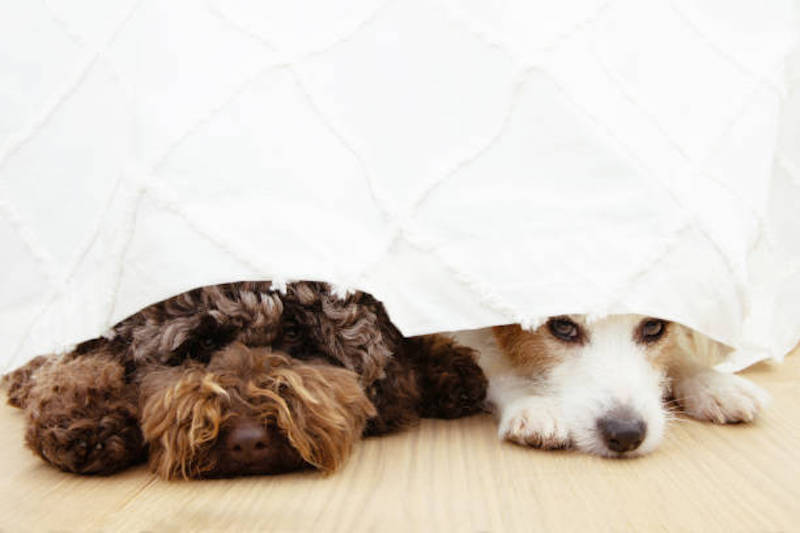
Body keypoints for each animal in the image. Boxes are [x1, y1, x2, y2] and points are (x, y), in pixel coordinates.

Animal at [4, 282, 488, 478]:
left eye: (293, 333)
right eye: (200, 345)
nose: (249, 441)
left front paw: (447, 369)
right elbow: (83, 366)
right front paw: (84, 417)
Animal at [450, 316, 768, 458]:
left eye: (654, 327)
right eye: (562, 326)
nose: (626, 434)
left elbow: (678, 352)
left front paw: (713, 382)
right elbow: (496, 366)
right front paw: (535, 403)